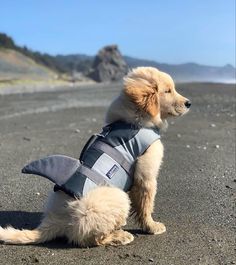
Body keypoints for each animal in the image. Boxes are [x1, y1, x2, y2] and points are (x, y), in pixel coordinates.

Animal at [0, 66, 190, 245]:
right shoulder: (146, 175)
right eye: (168, 91)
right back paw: (120, 236)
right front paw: (152, 226)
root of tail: (55, 220)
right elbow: (146, 204)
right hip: (116, 198)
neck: (133, 121)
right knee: (89, 239)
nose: (189, 103)